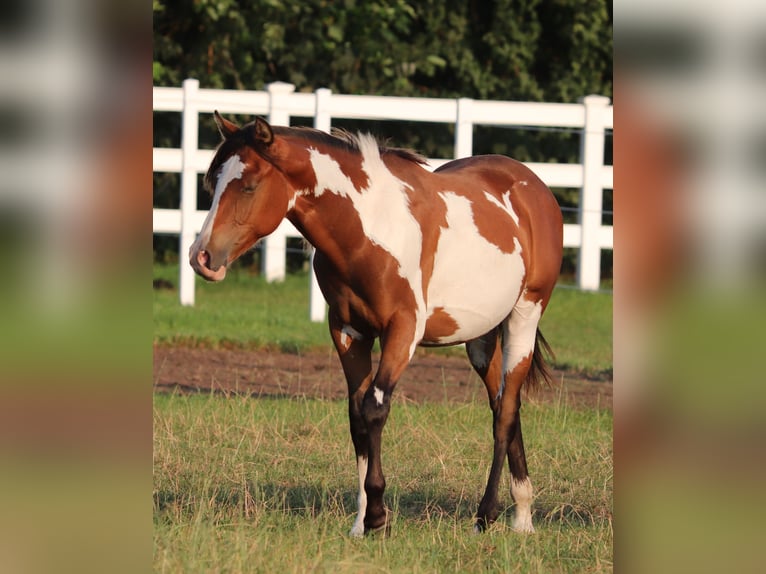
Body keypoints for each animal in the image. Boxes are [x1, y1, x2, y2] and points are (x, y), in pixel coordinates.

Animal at [190, 112, 563, 536]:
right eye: (213, 183)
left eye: (249, 185)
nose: (201, 257)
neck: (368, 229)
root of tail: (534, 188)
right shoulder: (348, 333)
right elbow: (356, 417)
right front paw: (361, 521)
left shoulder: (403, 330)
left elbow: (375, 409)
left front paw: (378, 516)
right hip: (481, 339)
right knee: (504, 404)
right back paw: (522, 514)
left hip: (524, 316)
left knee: (505, 413)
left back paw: (488, 514)